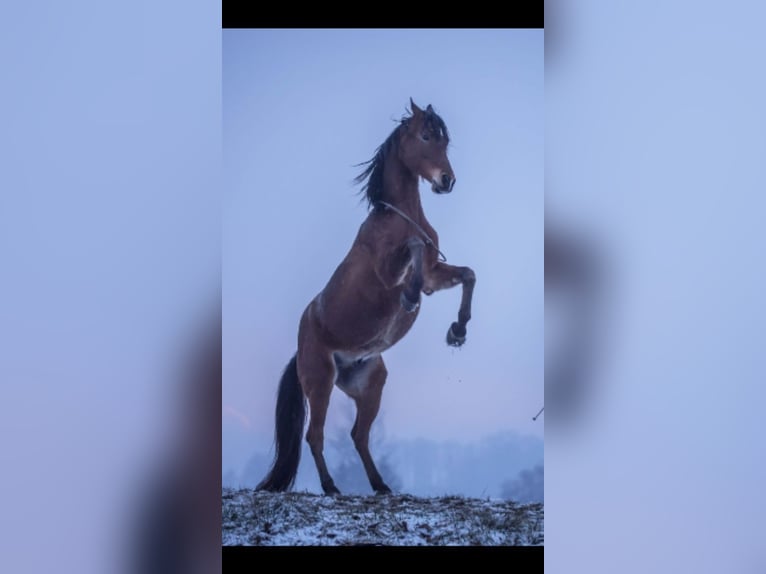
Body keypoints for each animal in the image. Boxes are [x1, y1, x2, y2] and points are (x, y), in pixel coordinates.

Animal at [255, 99, 476, 496]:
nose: (446, 181)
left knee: (358, 436)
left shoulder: (435, 273)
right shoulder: (390, 271)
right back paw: (332, 488)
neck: (399, 218)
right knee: (315, 436)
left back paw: (380, 485)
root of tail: (300, 348)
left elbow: (468, 274)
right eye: (425, 136)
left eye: (445, 140)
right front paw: (409, 298)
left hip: (371, 384)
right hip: (321, 382)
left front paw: (458, 331)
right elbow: (414, 248)